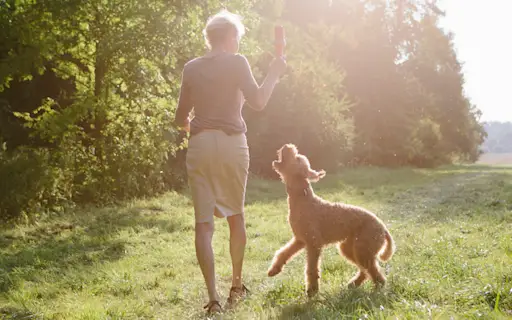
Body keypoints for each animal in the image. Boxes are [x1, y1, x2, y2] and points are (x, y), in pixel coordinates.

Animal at [268, 144, 396, 296]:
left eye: (297, 158)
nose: (288, 146)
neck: (303, 199)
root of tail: (383, 228)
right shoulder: (300, 240)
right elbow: (283, 252)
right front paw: (274, 270)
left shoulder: (314, 243)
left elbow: (311, 269)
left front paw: (312, 291)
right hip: (350, 248)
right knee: (365, 271)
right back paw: (353, 284)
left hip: (362, 249)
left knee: (374, 272)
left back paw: (377, 290)